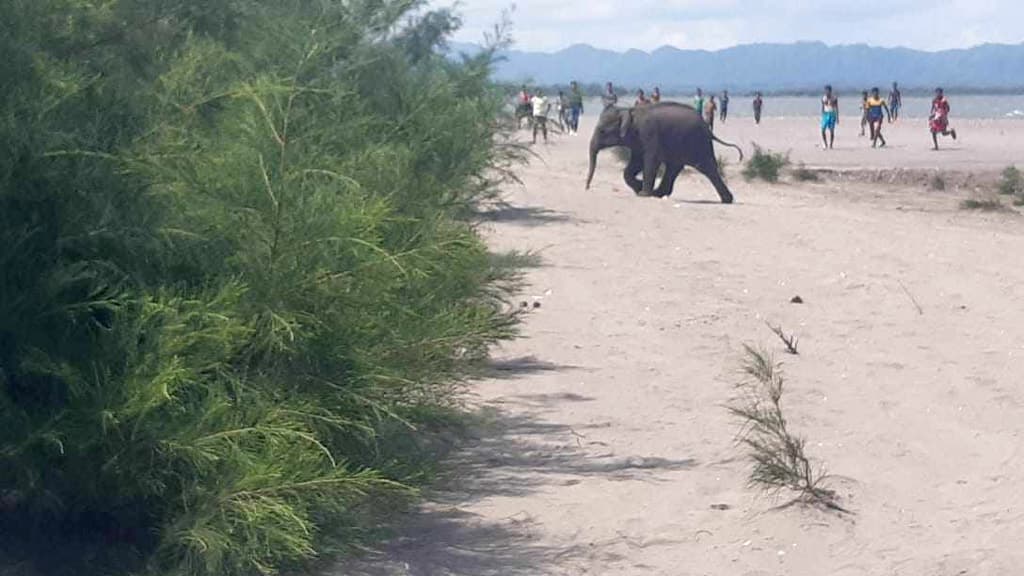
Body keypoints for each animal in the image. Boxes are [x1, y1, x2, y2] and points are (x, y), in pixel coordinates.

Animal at [585, 100, 745, 201]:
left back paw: (727, 200)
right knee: (674, 167)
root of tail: (708, 129)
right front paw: (639, 188)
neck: (629, 111)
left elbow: (650, 160)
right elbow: (635, 163)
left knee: (707, 168)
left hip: (698, 143)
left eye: (602, 131)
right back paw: (659, 193)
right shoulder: (637, 140)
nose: (587, 188)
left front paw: (643, 193)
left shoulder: (649, 133)